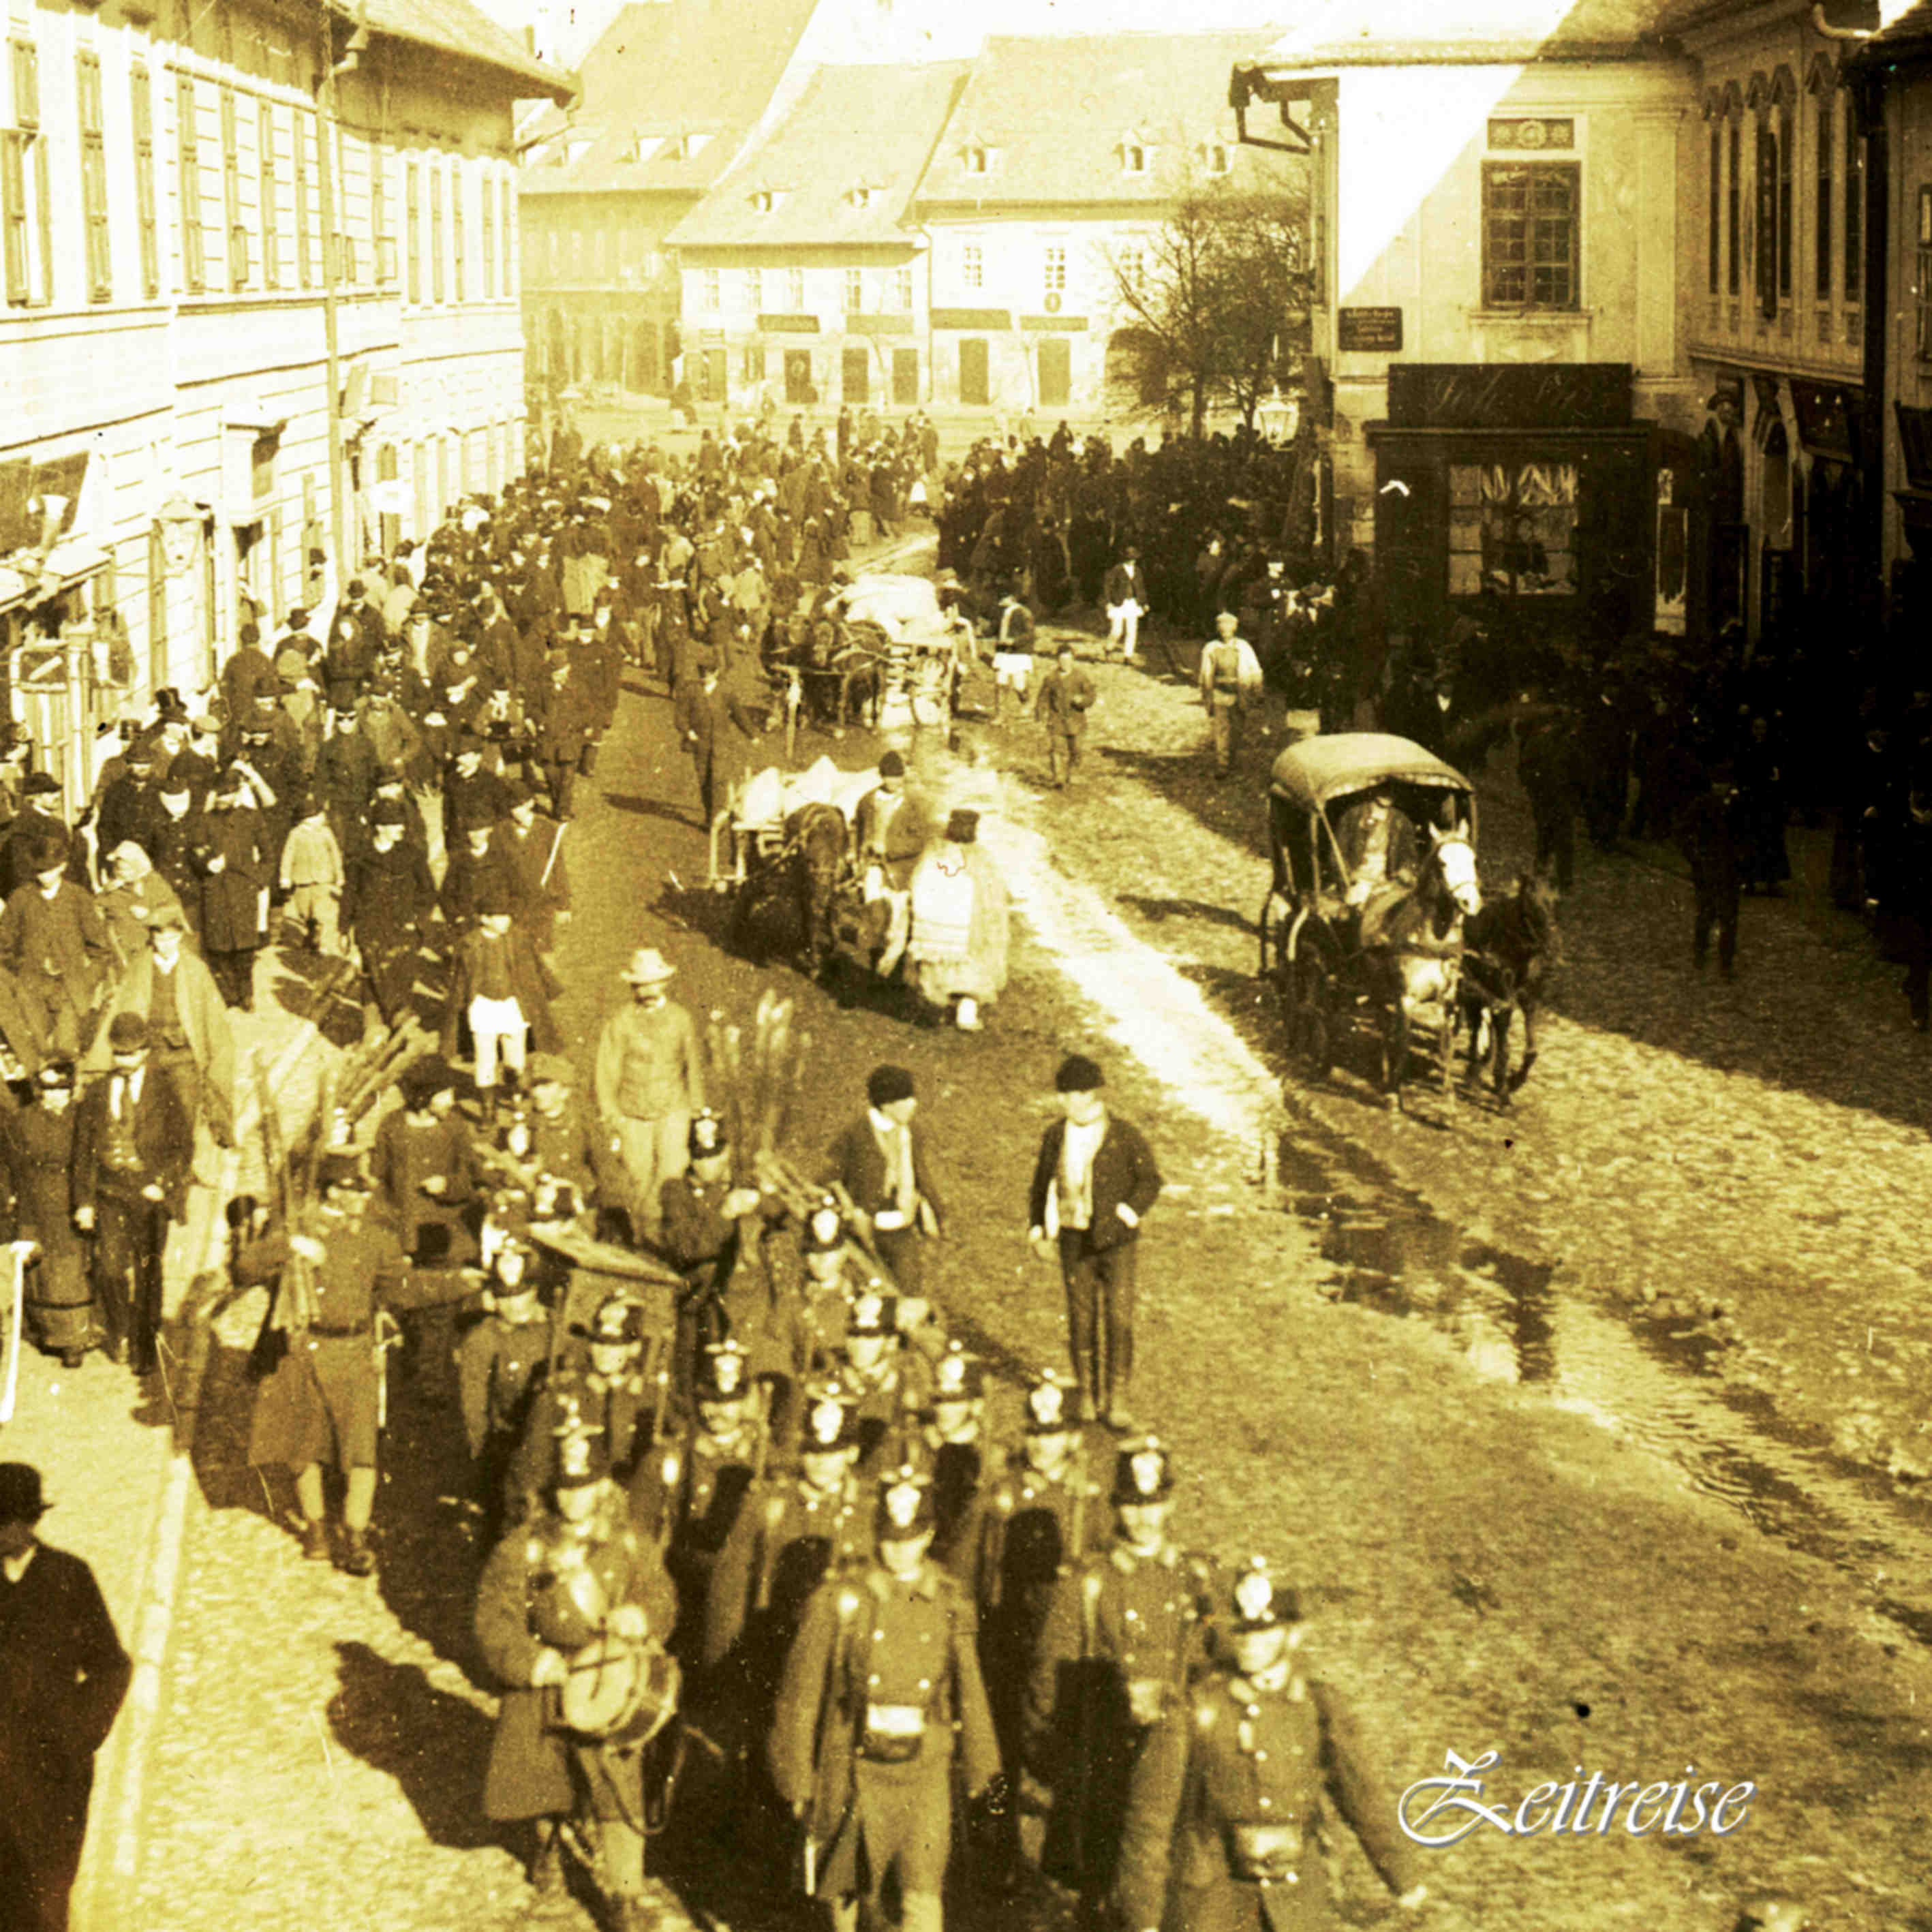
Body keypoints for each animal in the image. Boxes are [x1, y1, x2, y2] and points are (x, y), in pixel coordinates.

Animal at [1360, 823, 1482, 1104]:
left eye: (1473, 859)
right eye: (1442, 862)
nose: (1470, 902)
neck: (1430, 942)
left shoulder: (1447, 1000)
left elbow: (1446, 1045)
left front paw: (1449, 1099)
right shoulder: (1406, 999)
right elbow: (1403, 1043)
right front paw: (1394, 1092)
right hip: (1378, 987)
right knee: (1384, 1028)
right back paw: (1386, 1074)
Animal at [1458, 873, 1559, 1104]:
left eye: (1555, 901)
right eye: (1531, 902)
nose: (1550, 944)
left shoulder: (1528, 999)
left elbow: (1531, 1050)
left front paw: (1514, 1081)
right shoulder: (1502, 997)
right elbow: (1502, 1042)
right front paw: (1502, 1085)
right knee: (1477, 1024)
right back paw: (1475, 1071)